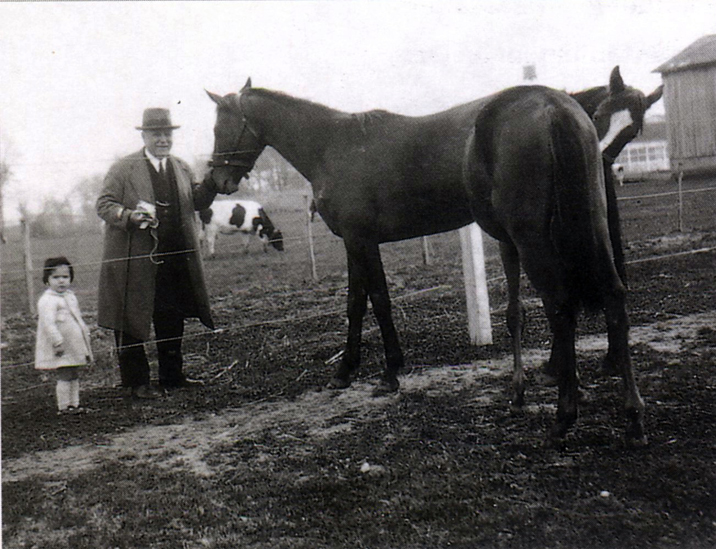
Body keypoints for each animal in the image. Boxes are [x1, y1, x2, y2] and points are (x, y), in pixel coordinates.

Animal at [207, 71, 660, 440]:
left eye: (221, 126)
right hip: (586, 227)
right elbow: (355, 304)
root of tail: (554, 106)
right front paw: (346, 370)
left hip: (536, 238)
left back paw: (568, 409)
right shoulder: (355, 243)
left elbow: (378, 301)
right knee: (611, 294)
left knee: (562, 303)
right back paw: (628, 411)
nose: (218, 179)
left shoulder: (361, 240)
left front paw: (390, 371)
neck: (333, 146)